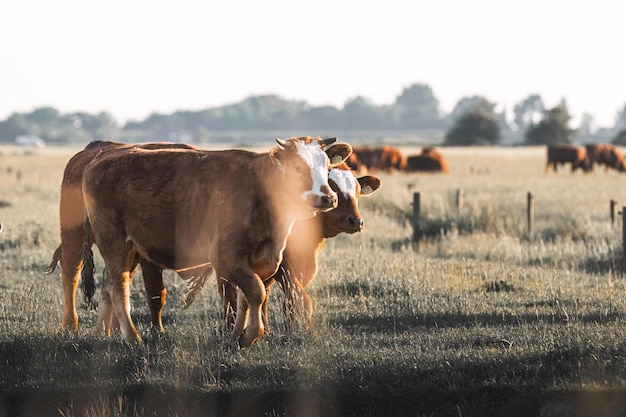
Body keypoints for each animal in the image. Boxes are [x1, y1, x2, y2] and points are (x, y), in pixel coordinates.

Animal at [81, 136, 352, 344]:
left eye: (326, 166)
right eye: (297, 168)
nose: (329, 198)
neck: (260, 190)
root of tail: (99, 160)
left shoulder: (257, 261)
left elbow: (244, 300)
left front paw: (236, 337)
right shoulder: (226, 258)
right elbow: (256, 293)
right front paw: (250, 335)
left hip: (130, 250)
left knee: (109, 287)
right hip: (114, 243)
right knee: (119, 289)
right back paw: (133, 337)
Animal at [217, 161, 380, 330]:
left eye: (358, 191)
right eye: (332, 188)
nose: (357, 221)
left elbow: (289, 303)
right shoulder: (285, 270)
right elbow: (304, 302)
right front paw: (309, 332)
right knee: (229, 296)